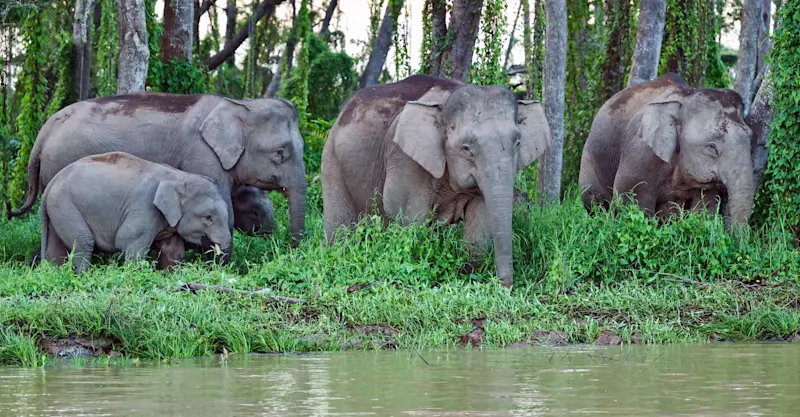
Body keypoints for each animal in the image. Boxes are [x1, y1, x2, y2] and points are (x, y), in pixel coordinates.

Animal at [40, 152, 232, 273]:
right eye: (208, 218)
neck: (178, 176)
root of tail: (51, 183)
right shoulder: (145, 208)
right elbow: (129, 242)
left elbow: (173, 251)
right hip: (66, 206)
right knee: (83, 242)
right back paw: (83, 275)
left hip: (59, 210)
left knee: (56, 248)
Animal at [321, 74, 551, 288]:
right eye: (466, 148)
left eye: (518, 142)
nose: (506, 287)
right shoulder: (404, 158)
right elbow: (410, 217)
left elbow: (480, 218)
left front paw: (469, 273)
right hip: (332, 163)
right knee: (340, 230)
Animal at [578, 73, 755, 226]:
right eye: (712, 147)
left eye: (751, 138)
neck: (686, 98)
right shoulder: (640, 151)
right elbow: (633, 198)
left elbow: (704, 207)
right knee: (596, 204)